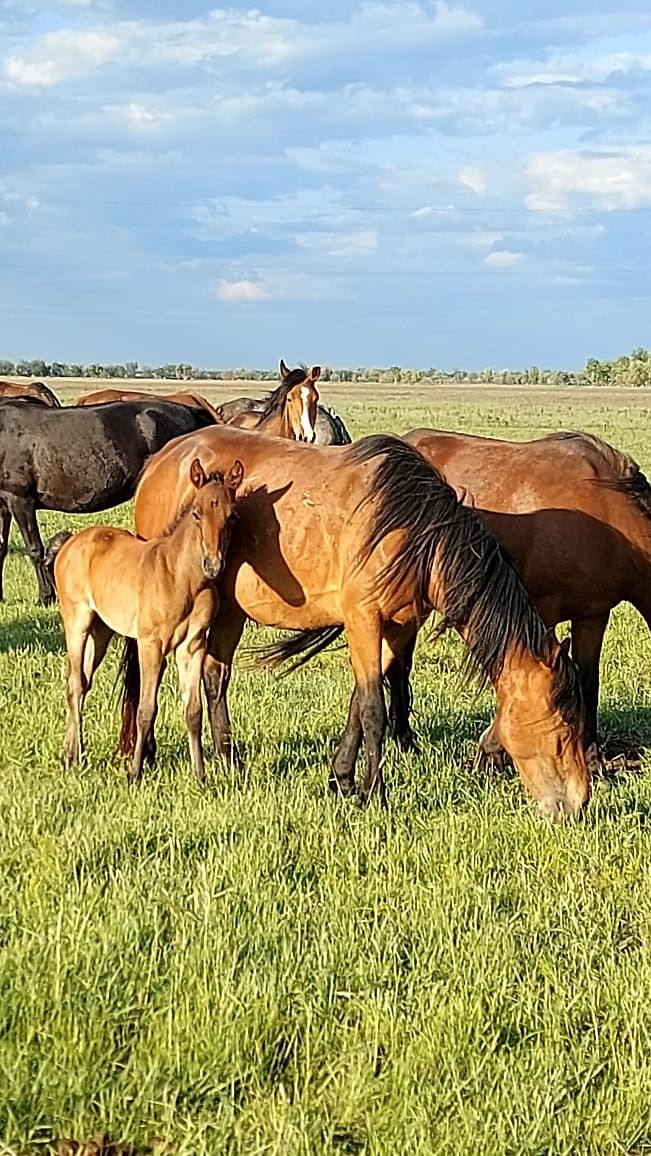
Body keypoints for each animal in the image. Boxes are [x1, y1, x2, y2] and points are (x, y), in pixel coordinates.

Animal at [0, 399, 218, 605]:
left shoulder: (20, 500)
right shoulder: (3, 505)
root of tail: (190, 412)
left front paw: (45, 597)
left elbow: (35, 549)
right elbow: (2, 547)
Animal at [47, 460, 242, 786]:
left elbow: (193, 710)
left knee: (82, 681)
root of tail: (72, 540)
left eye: (232, 516)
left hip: (101, 631)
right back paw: (73, 758)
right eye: (197, 513)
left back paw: (71, 752)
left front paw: (200, 775)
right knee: (75, 682)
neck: (181, 577)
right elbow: (146, 708)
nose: (213, 566)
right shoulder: (151, 644)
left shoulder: (193, 645)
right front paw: (134, 772)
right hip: (77, 621)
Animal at [128, 427, 596, 823]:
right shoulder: (363, 620)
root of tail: (162, 458)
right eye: (564, 727)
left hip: (229, 608)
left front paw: (344, 780)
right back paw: (146, 754)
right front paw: (377, 794)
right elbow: (373, 708)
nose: (577, 805)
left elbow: (359, 701)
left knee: (214, 675)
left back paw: (228, 759)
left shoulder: (397, 627)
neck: (412, 530)